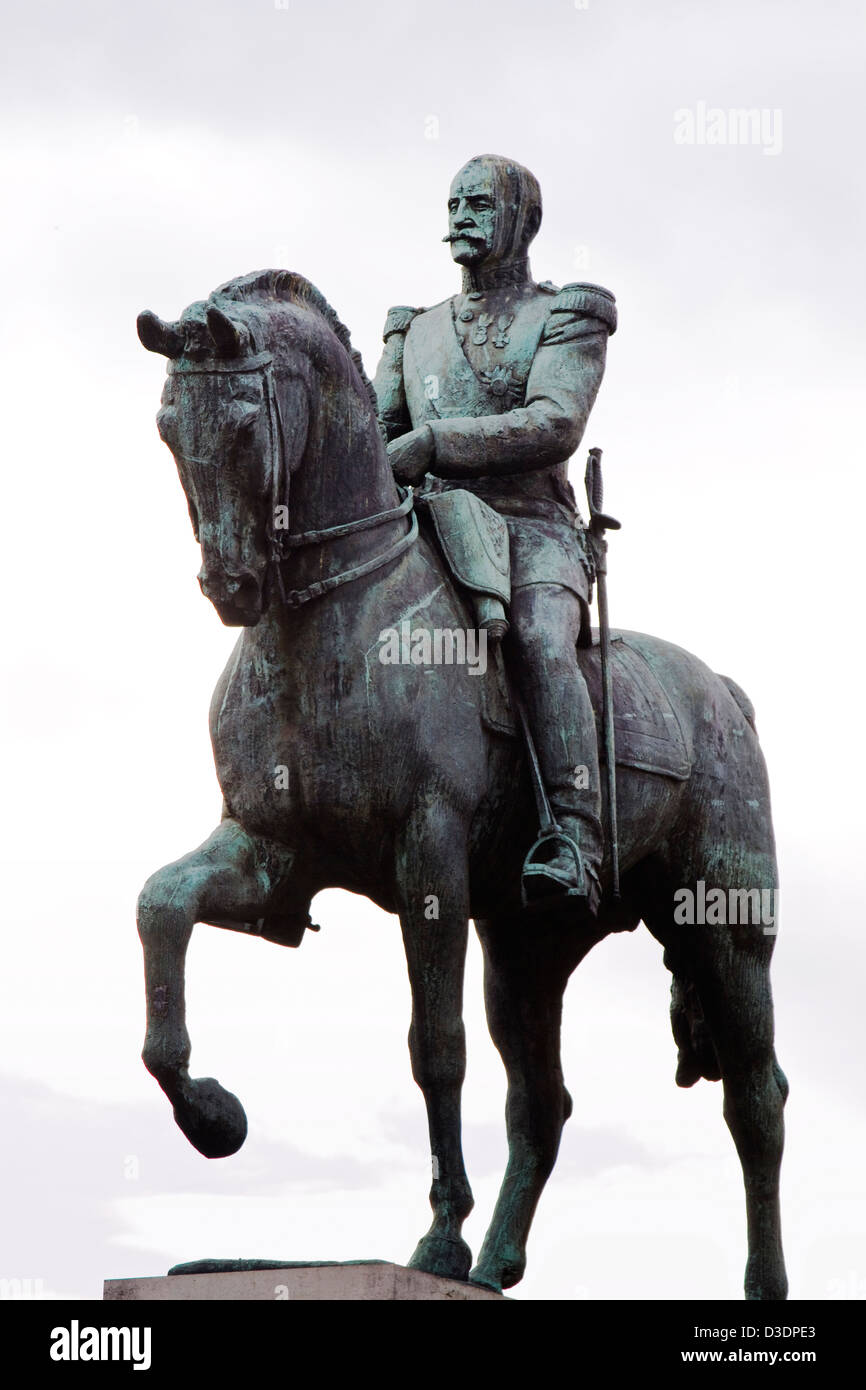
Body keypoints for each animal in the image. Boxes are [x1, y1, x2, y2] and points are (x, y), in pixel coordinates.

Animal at [134, 271, 783, 1301]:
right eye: (168, 426)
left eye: (240, 424)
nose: (229, 586)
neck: (334, 620)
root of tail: (722, 693)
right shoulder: (268, 852)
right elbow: (160, 908)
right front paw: (211, 1115)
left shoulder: (428, 859)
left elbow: (435, 1048)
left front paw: (436, 1237)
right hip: (528, 946)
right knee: (542, 1105)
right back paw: (495, 1262)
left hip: (725, 932)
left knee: (756, 1102)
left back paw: (759, 1281)